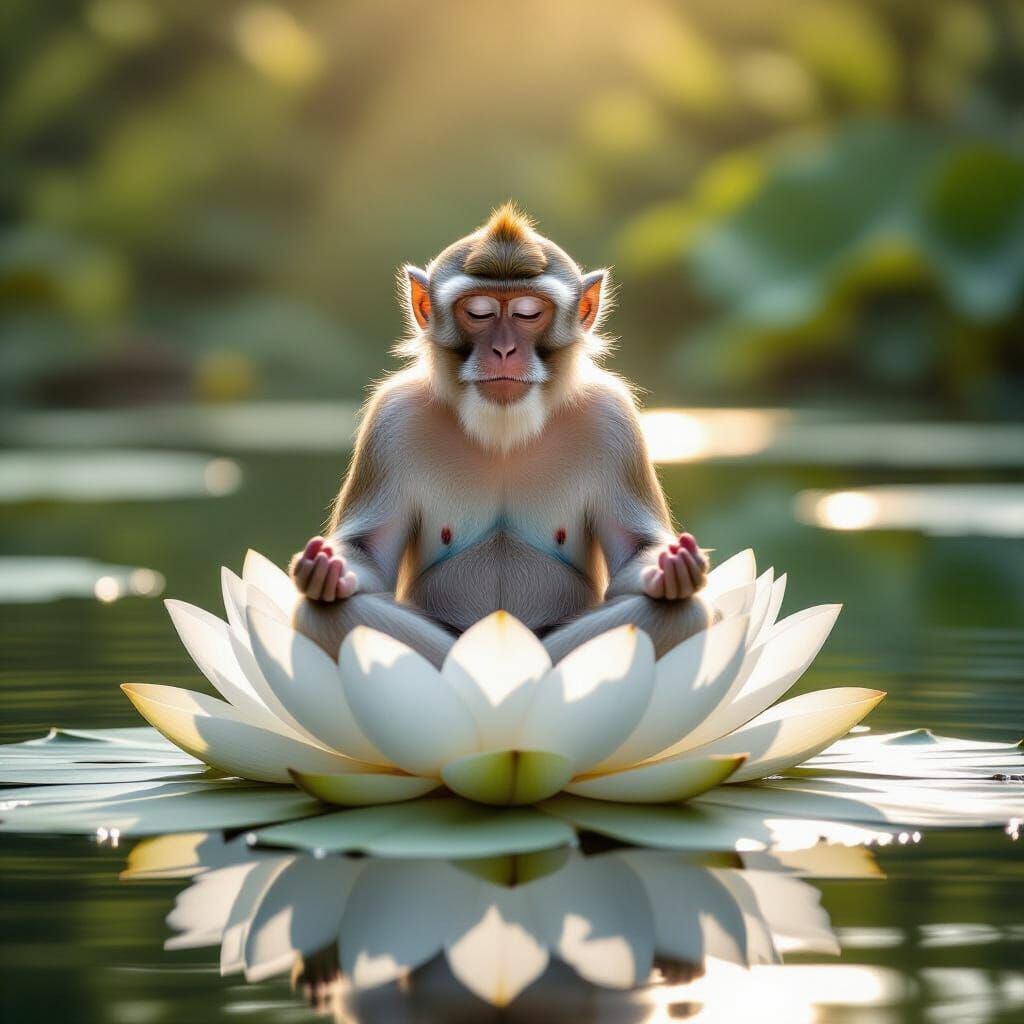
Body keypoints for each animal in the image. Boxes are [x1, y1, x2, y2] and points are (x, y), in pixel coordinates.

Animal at [289, 203, 710, 669]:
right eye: (480, 312)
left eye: (528, 312)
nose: (504, 350)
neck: (503, 431)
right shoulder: (392, 418)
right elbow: (368, 558)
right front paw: (329, 571)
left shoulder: (612, 418)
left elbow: (636, 555)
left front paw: (670, 569)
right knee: (328, 612)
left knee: (678, 611)